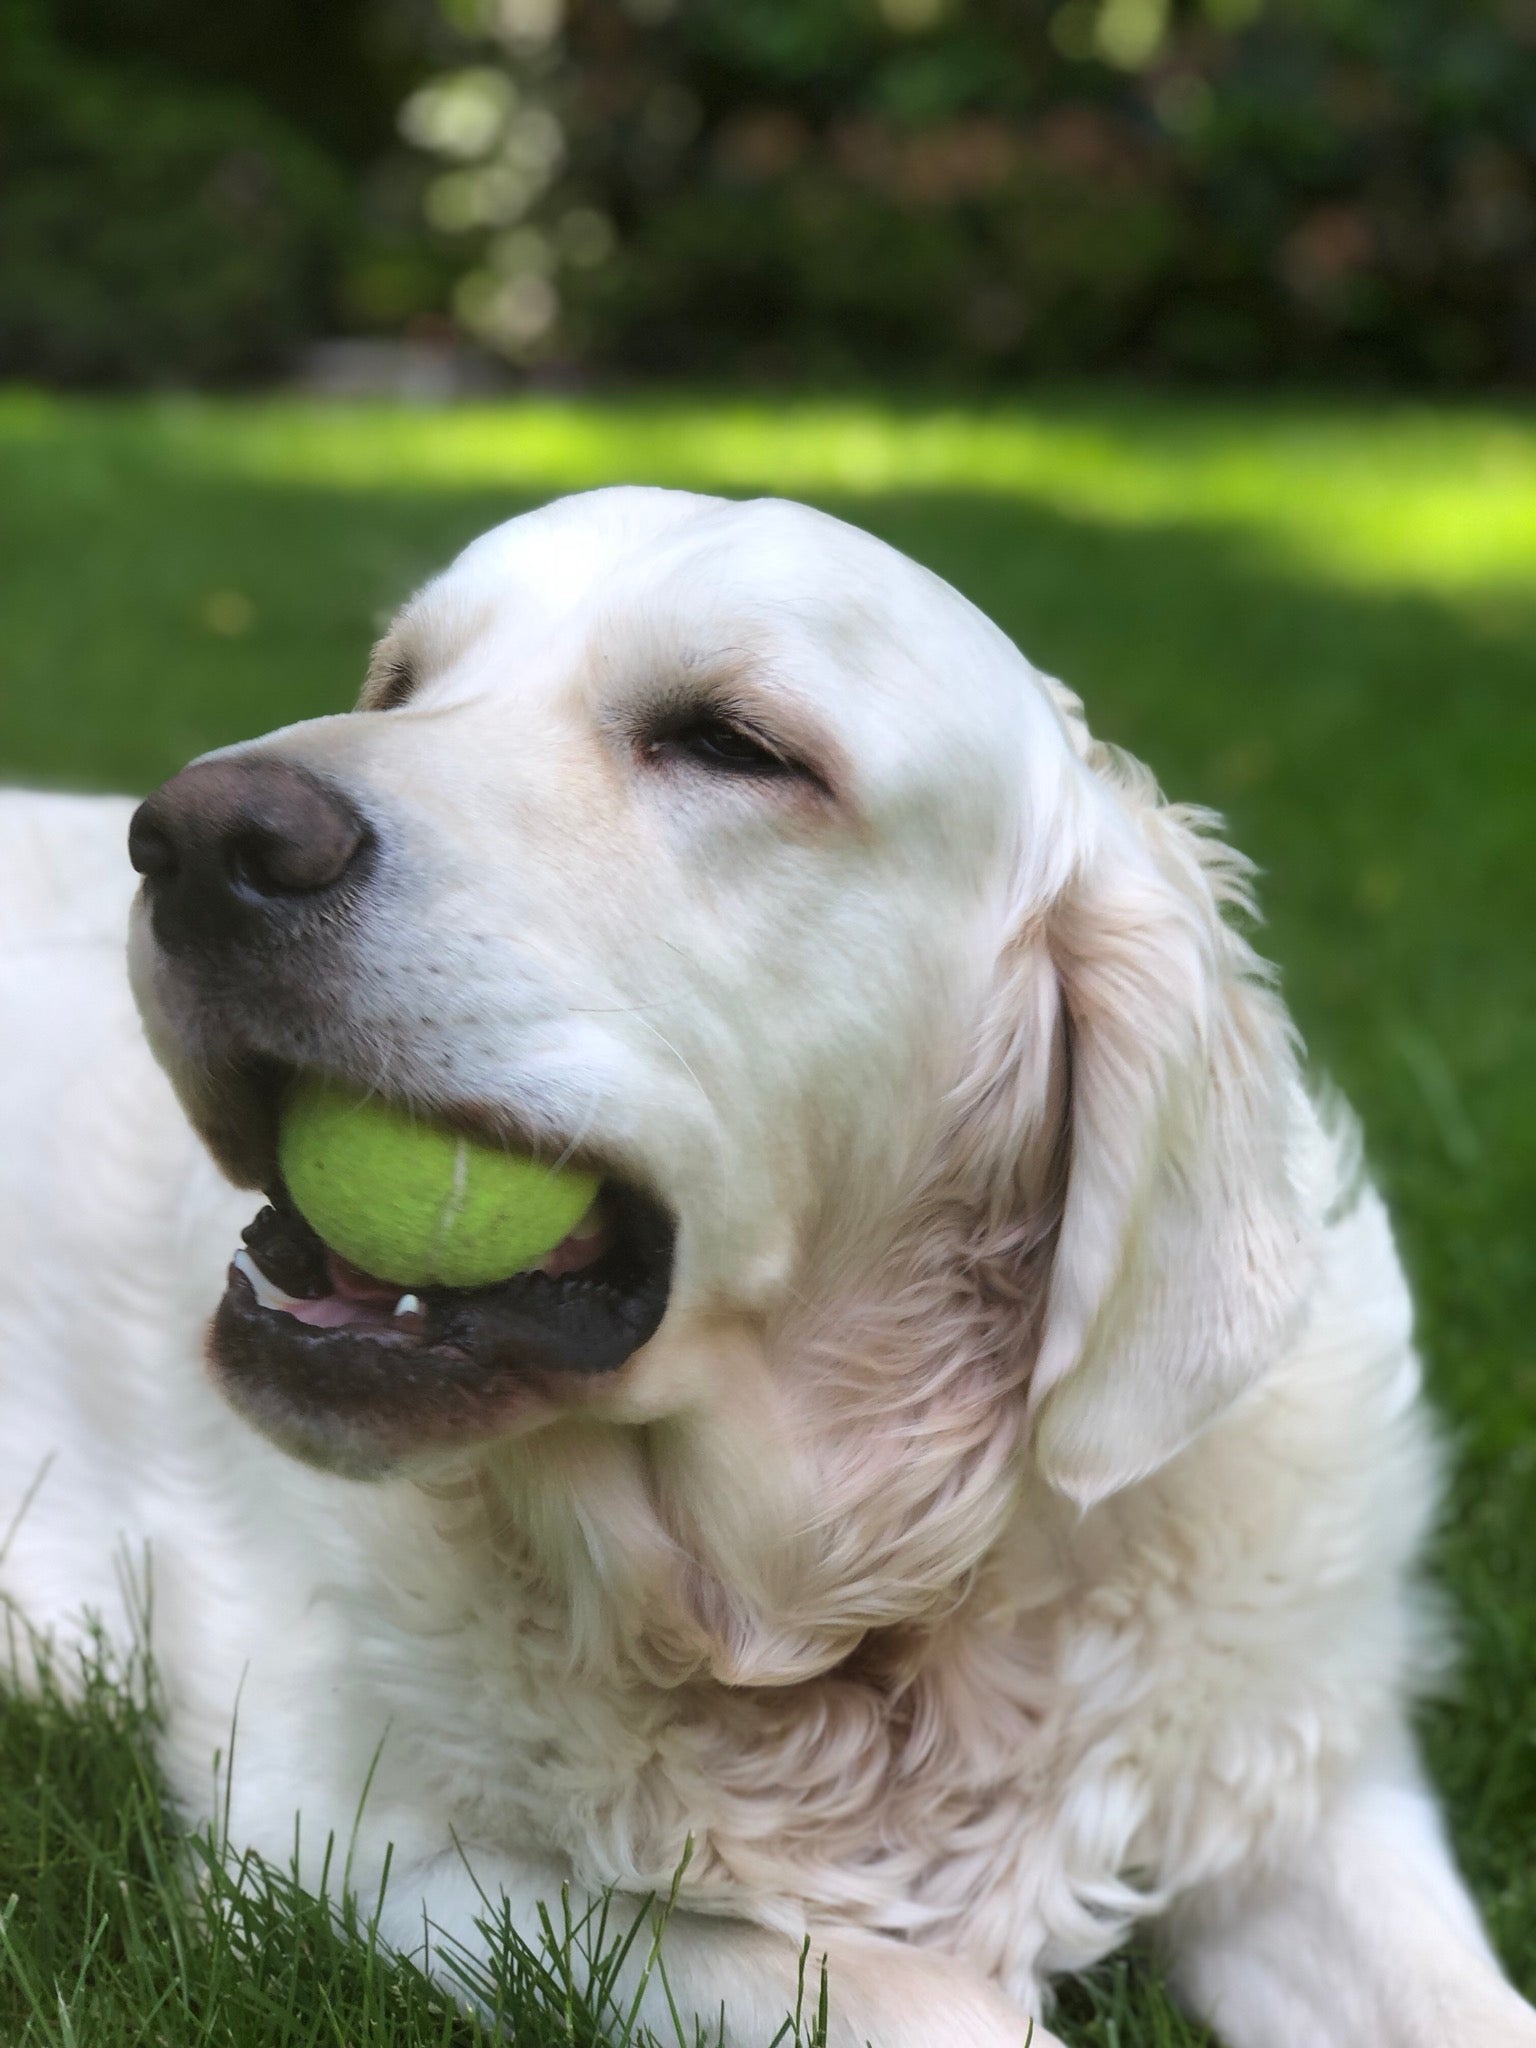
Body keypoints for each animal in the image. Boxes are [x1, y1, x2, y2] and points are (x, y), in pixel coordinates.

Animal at [3, 487, 1536, 2039]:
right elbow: (912, 1992)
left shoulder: (1308, 1791)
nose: (197, 836)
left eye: (734, 745)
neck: (850, 1618)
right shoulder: (354, 1856)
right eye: (399, 686)